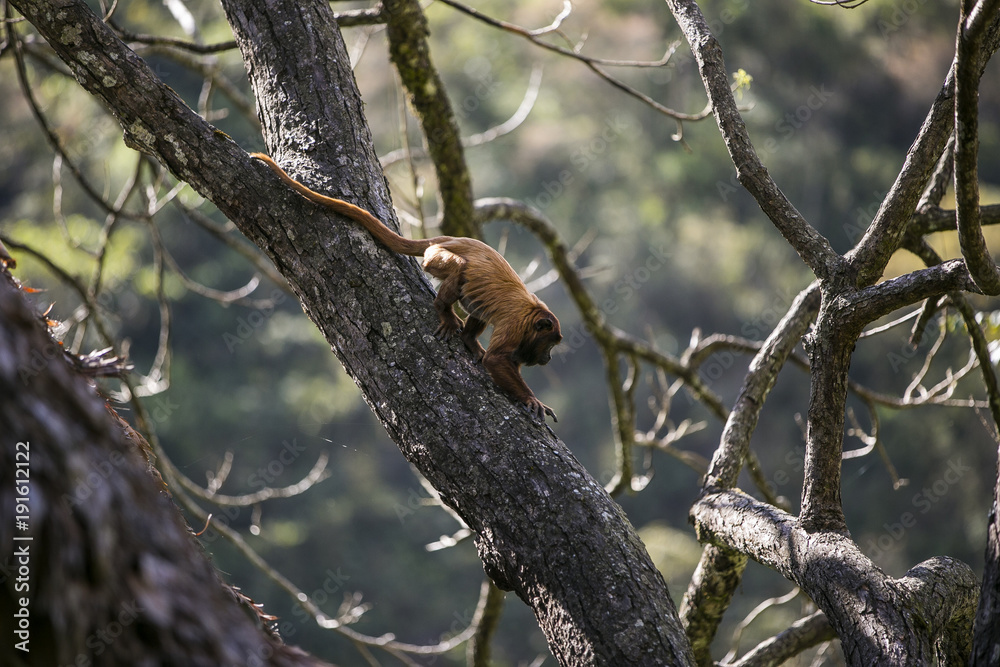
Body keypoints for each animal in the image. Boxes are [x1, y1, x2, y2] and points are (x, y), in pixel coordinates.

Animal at [252, 154, 564, 420]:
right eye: (550, 343)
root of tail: (450, 239)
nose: (549, 357)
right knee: (459, 269)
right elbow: (497, 360)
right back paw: (444, 311)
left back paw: (468, 338)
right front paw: (531, 399)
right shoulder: (516, 326)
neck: (533, 314)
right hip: (436, 257)